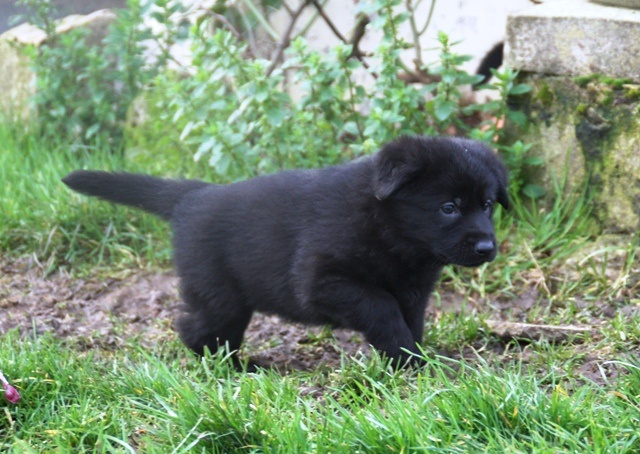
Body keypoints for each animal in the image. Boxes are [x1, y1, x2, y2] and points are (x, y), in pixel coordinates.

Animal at [63, 136, 508, 368]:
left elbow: (409, 319)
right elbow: (380, 306)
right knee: (199, 330)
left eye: (487, 205)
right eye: (448, 208)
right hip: (218, 292)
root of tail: (191, 197)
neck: (387, 228)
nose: (487, 247)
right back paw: (231, 368)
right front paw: (404, 357)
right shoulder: (320, 279)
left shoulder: (414, 290)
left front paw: (410, 356)